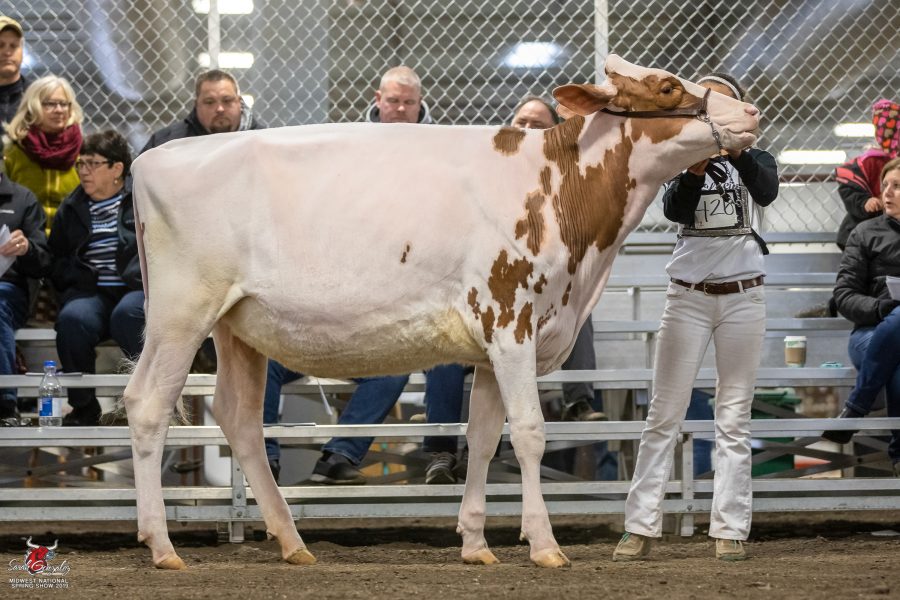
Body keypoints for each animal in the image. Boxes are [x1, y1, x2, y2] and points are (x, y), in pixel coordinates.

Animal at [124, 54, 760, 570]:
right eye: (667, 87)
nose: (751, 111)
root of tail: (152, 159)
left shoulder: (491, 343)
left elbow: (481, 438)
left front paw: (476, 544)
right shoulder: (512, 321)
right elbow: (529, 433)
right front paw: (545, 545)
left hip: (240, 326)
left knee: (240, 419)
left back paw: (292, 543)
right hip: (182, 312)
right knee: (148, 403)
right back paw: (163, 545)